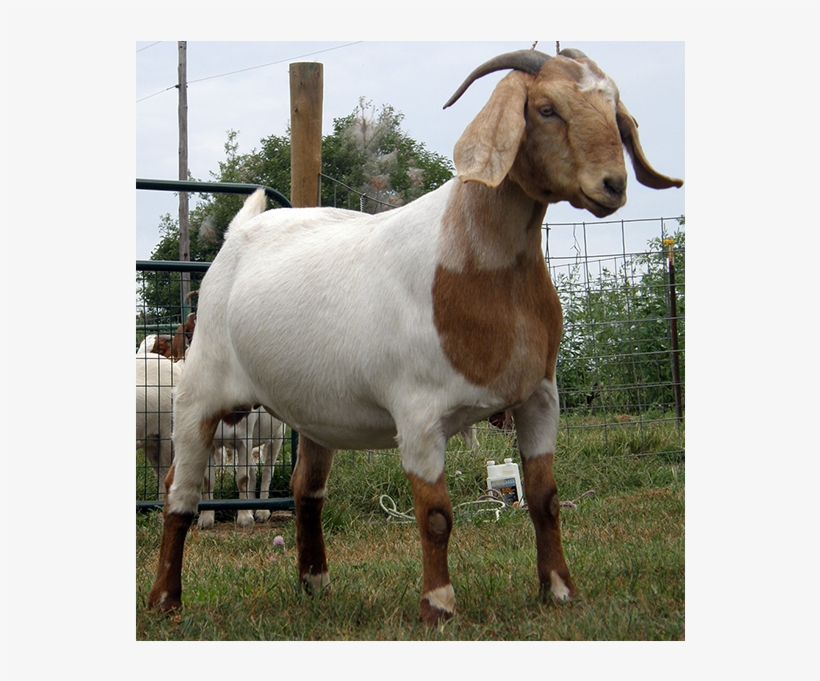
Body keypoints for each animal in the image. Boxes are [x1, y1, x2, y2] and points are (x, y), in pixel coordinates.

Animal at [148, 48, 682, 624]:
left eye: (614, 109)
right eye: (545, 109)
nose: (613, 185)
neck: (471, 263)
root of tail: (241, 230)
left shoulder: (540, 395)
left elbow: (546, 499)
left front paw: (559, 590)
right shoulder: (418, 414)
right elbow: (436, 516)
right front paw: (439, 605)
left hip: (314, 407)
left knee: (306, 489)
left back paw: (316, 584)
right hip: (201, 391)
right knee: (180, 491)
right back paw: (165, 601)